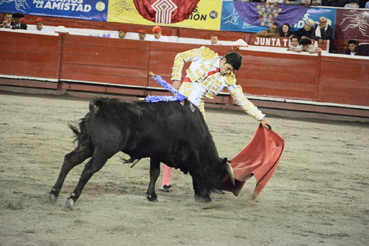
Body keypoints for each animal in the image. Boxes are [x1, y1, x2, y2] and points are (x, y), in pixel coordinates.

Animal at [49, 97, 233, 209]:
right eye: (219, 176)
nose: (212, 193)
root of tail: (100, 106)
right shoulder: (191, 156)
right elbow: (197, 174)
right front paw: (203, 197)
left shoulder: (156, 154)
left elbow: (155, 173)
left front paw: (151, 196)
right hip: (104, 150)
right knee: (89, 169)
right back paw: (72, 198)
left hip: (88, 145)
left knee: (69, 160)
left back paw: (54, 193)